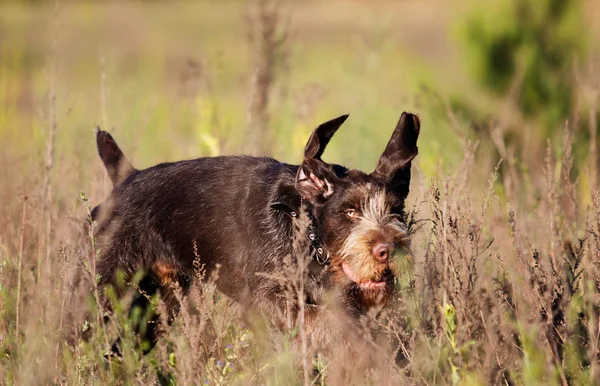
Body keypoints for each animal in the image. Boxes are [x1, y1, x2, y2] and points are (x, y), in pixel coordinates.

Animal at [92, 111, 422, 352]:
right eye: (349, 212)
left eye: (395, 210)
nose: (388, 250)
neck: (305, 235)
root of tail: (127, 178)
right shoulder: (265, 302)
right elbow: (326, 323)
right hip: (104, 290)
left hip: (159, 302)